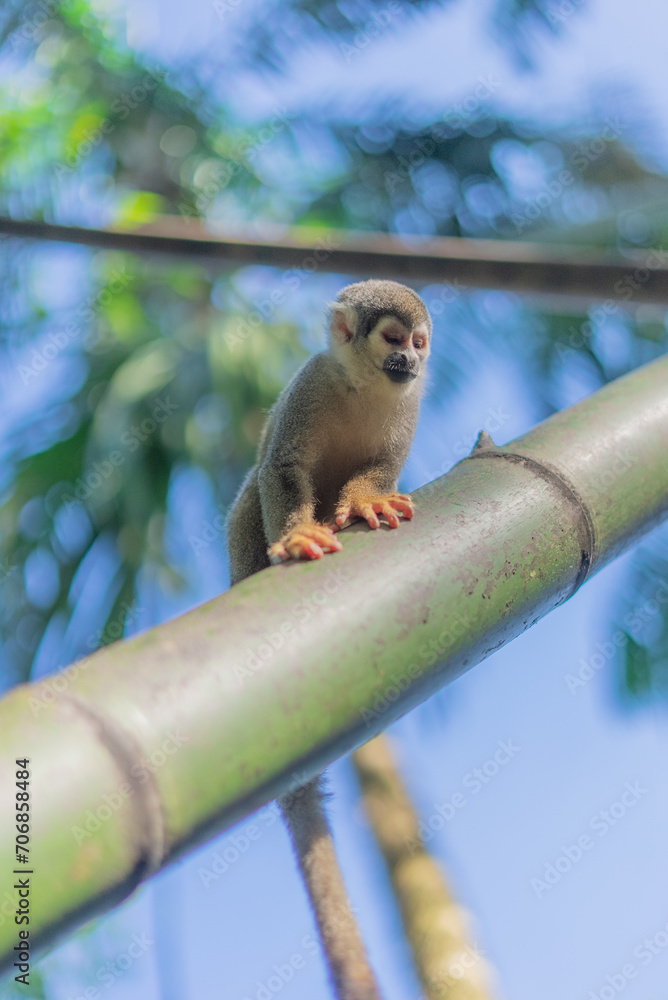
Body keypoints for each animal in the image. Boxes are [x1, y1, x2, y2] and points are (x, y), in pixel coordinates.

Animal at [226, 279, 432, 1000]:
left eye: (419, 344)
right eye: (393, 340)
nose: (411, 362)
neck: (365, 384)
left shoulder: (409, 406)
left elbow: (382, 468)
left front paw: (370, 500)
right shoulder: (310, 384)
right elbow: (281, 468)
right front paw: (298, 535)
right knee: (251, 488)